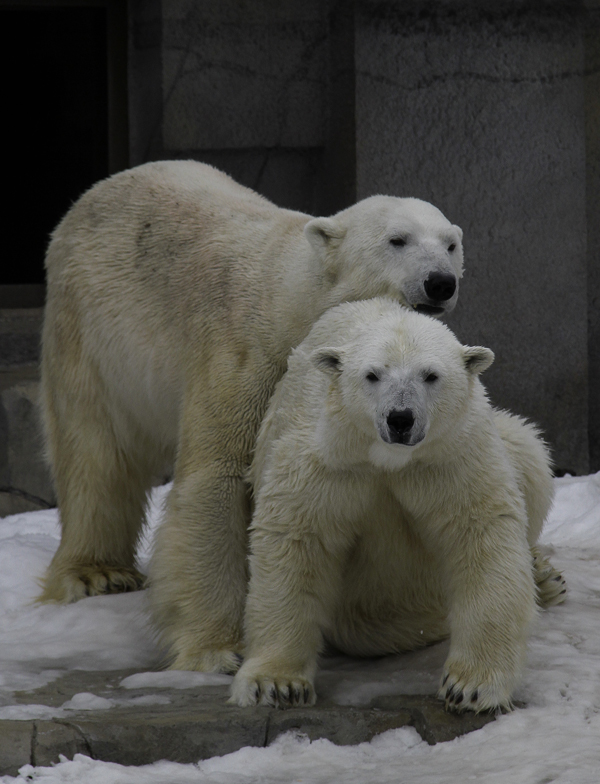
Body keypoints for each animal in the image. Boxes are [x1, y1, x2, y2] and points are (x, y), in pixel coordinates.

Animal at [39, 161, 466, 672]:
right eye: (397, 240)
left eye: (451, 244)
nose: (441, 282)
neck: (289, 302)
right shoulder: (242, 353)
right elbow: (216, 476)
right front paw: (217, 649)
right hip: (90, 331)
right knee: (95, 450)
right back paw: (96, 572)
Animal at [232, 298, 564, 712]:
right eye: (372, 375)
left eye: (431, 375)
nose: (400, 419)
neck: (387, 458)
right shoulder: (325, 461)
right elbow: (296, 542)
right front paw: (274, 684)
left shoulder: (450, 457)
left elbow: (480, 534)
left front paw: (470, 686)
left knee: (528, 451)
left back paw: (545, 579)